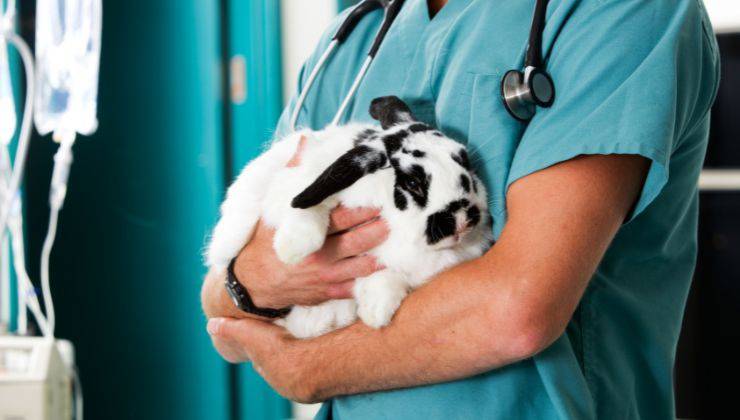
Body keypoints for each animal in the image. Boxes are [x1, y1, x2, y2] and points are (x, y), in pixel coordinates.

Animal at [206, 96, 493, 338]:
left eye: (465, 161)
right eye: (413, 182)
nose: (462, 219)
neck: (399, 227)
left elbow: (386, 276)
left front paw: (376, 311)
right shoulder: (298, 185)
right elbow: (306, 208)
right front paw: (293, 249)